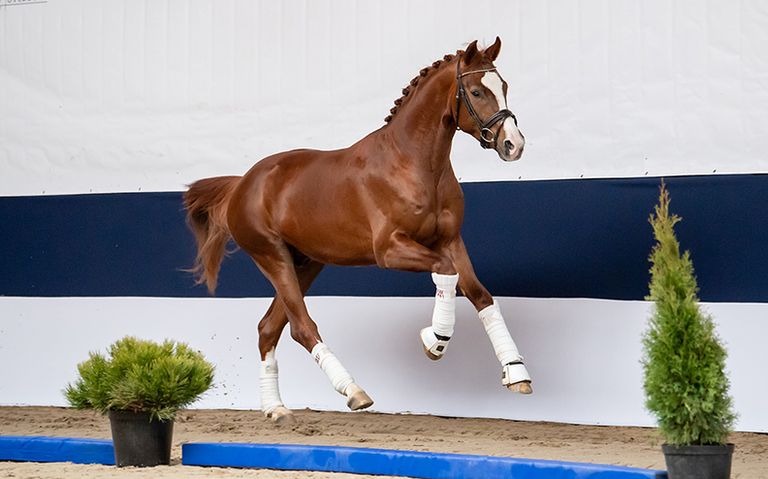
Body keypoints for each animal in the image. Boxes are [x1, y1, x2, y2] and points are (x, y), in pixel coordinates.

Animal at [184, 37, 531, 424]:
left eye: (504, 86)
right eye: (476, 91)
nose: (513, 145)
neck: (414, 164)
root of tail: (242, 183)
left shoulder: (450, 240)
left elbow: (480, 295)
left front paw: (516, 374)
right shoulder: (390, 250)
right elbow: (445, 272)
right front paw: (434, 341)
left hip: (306, 264)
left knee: (268, 329)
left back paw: (276, 409)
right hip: (273, 257)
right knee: (302, 327)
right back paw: (354, 392)